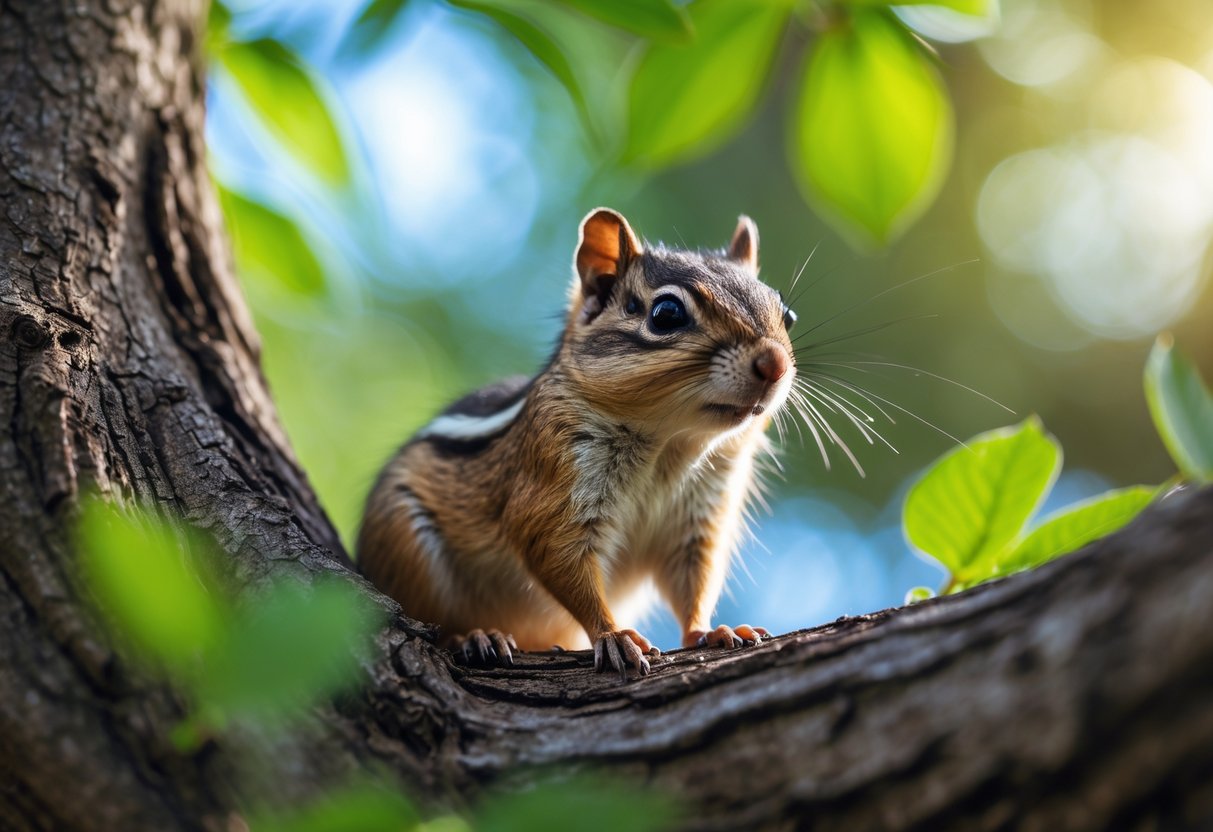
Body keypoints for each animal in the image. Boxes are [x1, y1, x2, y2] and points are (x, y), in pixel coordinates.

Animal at [357, 208, 796, 679]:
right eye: (666, 313)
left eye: (787, 314)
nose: (774, 363)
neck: (670, 444)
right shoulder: (555, 477)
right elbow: (558, 555)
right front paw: (613, 635)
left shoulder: (700, 519)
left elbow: (695, 580)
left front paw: (709, 631)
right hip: (403, 542)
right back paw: (475, 637)